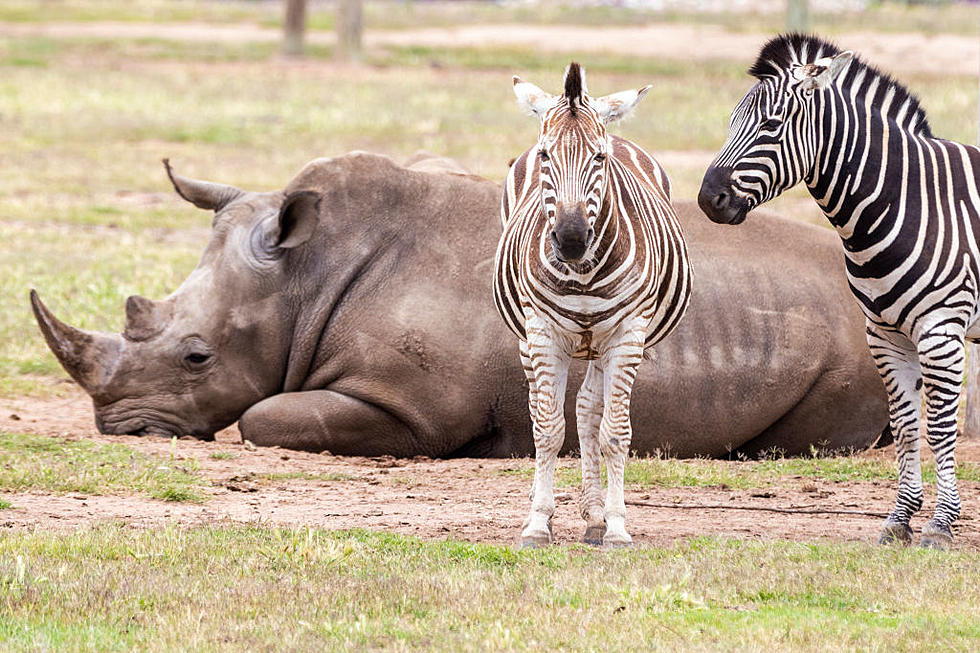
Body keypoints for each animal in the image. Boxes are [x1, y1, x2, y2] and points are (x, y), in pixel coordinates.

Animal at [494, 63, 692, 548]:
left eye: (599, 158)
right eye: (546, 156)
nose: (570, 239)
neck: (582, 271)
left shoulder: (628, 335)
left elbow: (614, 433)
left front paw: (616, 526)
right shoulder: (542, 332)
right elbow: (547, 429)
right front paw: (537, 522)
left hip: (603, 344)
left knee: (587, 412)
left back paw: (595, 515)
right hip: (528, 338)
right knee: (543, 409)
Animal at [700, 33, 976, 548]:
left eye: (771, 125)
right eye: (730, 122)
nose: (709, 200)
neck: (905, 201)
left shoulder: (941, 331)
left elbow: (940, 429)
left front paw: (941, 525)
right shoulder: (886, 335)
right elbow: (906, 426)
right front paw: (899, 520)